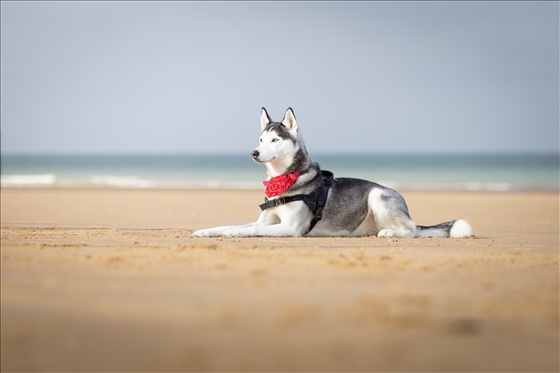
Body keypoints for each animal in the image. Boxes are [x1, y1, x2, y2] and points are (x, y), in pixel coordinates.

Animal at [192, 107, 472, 238]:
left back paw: (391, 233)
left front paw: (235, 233)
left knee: (412, 230)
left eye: (275, 140)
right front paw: (207, 230)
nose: (254, 152)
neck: (284, 181)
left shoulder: (289, 227)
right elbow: (230, 224)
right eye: (261, 139)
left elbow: (247, 230)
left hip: (377, 196)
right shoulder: (265, 221)